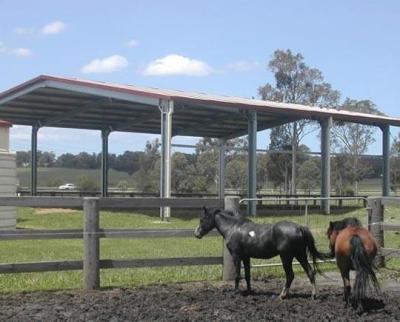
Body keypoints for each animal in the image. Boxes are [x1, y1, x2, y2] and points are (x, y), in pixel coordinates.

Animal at [195, 208, 330, 298]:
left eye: (202, 219)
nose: (196, 234)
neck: (233, 228)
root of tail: (299, 227)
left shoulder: (236, 256)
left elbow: (238, 275)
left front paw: (236, 292)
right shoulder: (246, 257)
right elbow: (247, 275)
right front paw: (249, 291)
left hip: (286, 257)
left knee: (290, 275)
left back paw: (282, 295)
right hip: (300, 255)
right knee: (310, 272)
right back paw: (313, 295)